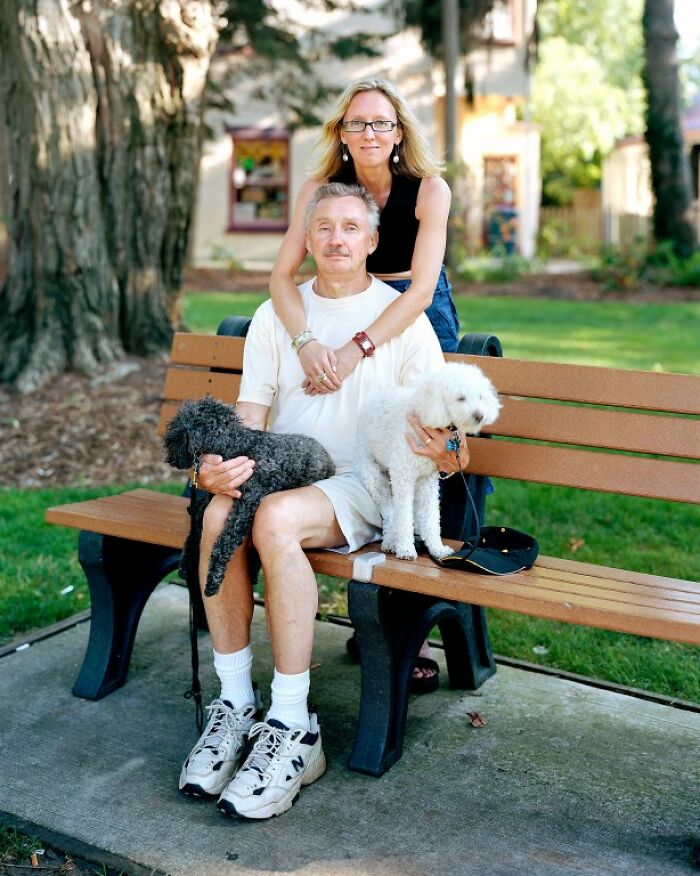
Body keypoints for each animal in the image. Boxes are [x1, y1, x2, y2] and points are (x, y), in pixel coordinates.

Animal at [167, 396, 336, 596]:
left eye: (179, 427)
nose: (169, 456)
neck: (237, 444)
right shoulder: (211, 501)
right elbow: (195, 530)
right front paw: (185, 562)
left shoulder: (244, 507)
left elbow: (224, 543)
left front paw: (212, 581)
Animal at [358, 364, 500, 560]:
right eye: (461, 398)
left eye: (480, 396)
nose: (480, 415)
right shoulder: (403, 476)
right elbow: (404, 515)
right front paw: (406, 549)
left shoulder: (427, 480)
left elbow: (431, 516)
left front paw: (437, 549)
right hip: (373, 475)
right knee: (391, 511)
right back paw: (392, 541)